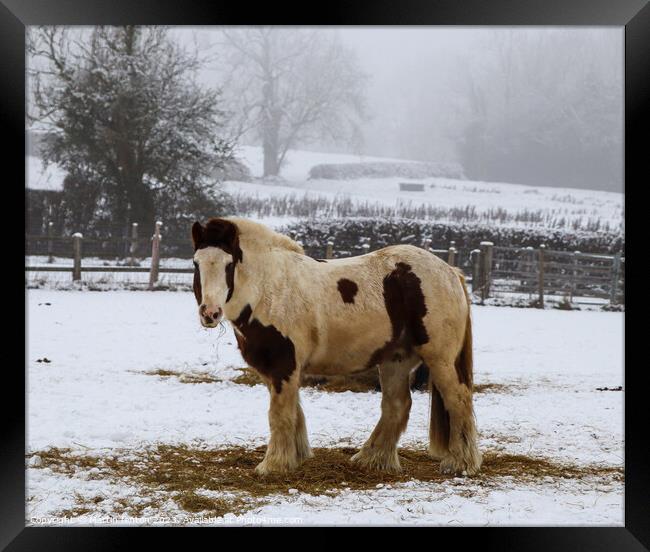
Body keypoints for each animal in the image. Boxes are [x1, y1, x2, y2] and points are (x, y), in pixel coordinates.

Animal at [190, 218, 478, 476]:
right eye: (196, 263)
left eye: (229, 264)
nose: (210, 313)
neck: (269, 289)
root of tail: (451, 272)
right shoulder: (275, 371)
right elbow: (294, 412)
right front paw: (296, 456)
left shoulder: (284, 366)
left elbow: (280, 415)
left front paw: (273, 465)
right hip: (394, 360)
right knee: (397, 405)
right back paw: (371, 459)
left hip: (440, 359)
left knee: (458, 399)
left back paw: (460, 464)